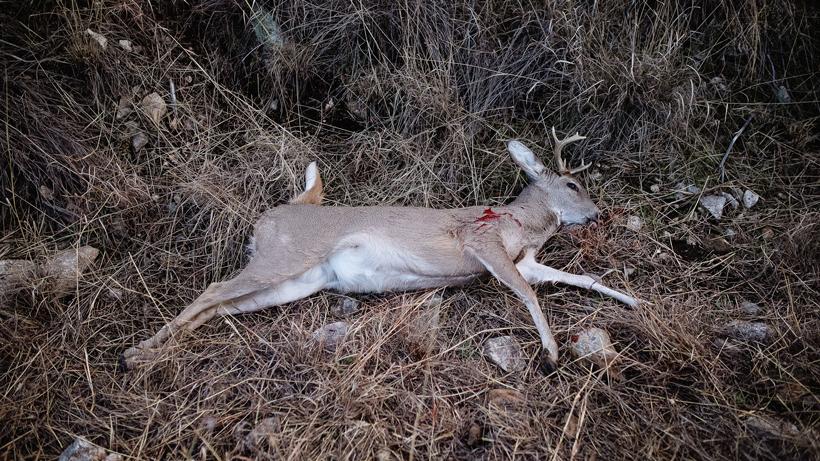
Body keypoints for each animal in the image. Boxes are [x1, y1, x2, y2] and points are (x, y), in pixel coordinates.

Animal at [121, 128, 639, 371]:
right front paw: (550, 354)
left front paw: (635, 301)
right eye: (572, 184)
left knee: (222, 305)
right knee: (212, 290)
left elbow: (580, 278)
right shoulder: (483, 244)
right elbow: (529, 295)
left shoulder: (525, 263)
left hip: (297, 281)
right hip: (284, 255)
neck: (519, 224)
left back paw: (148, 353)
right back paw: (137, 352)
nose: (597, 214)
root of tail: (272, 216)